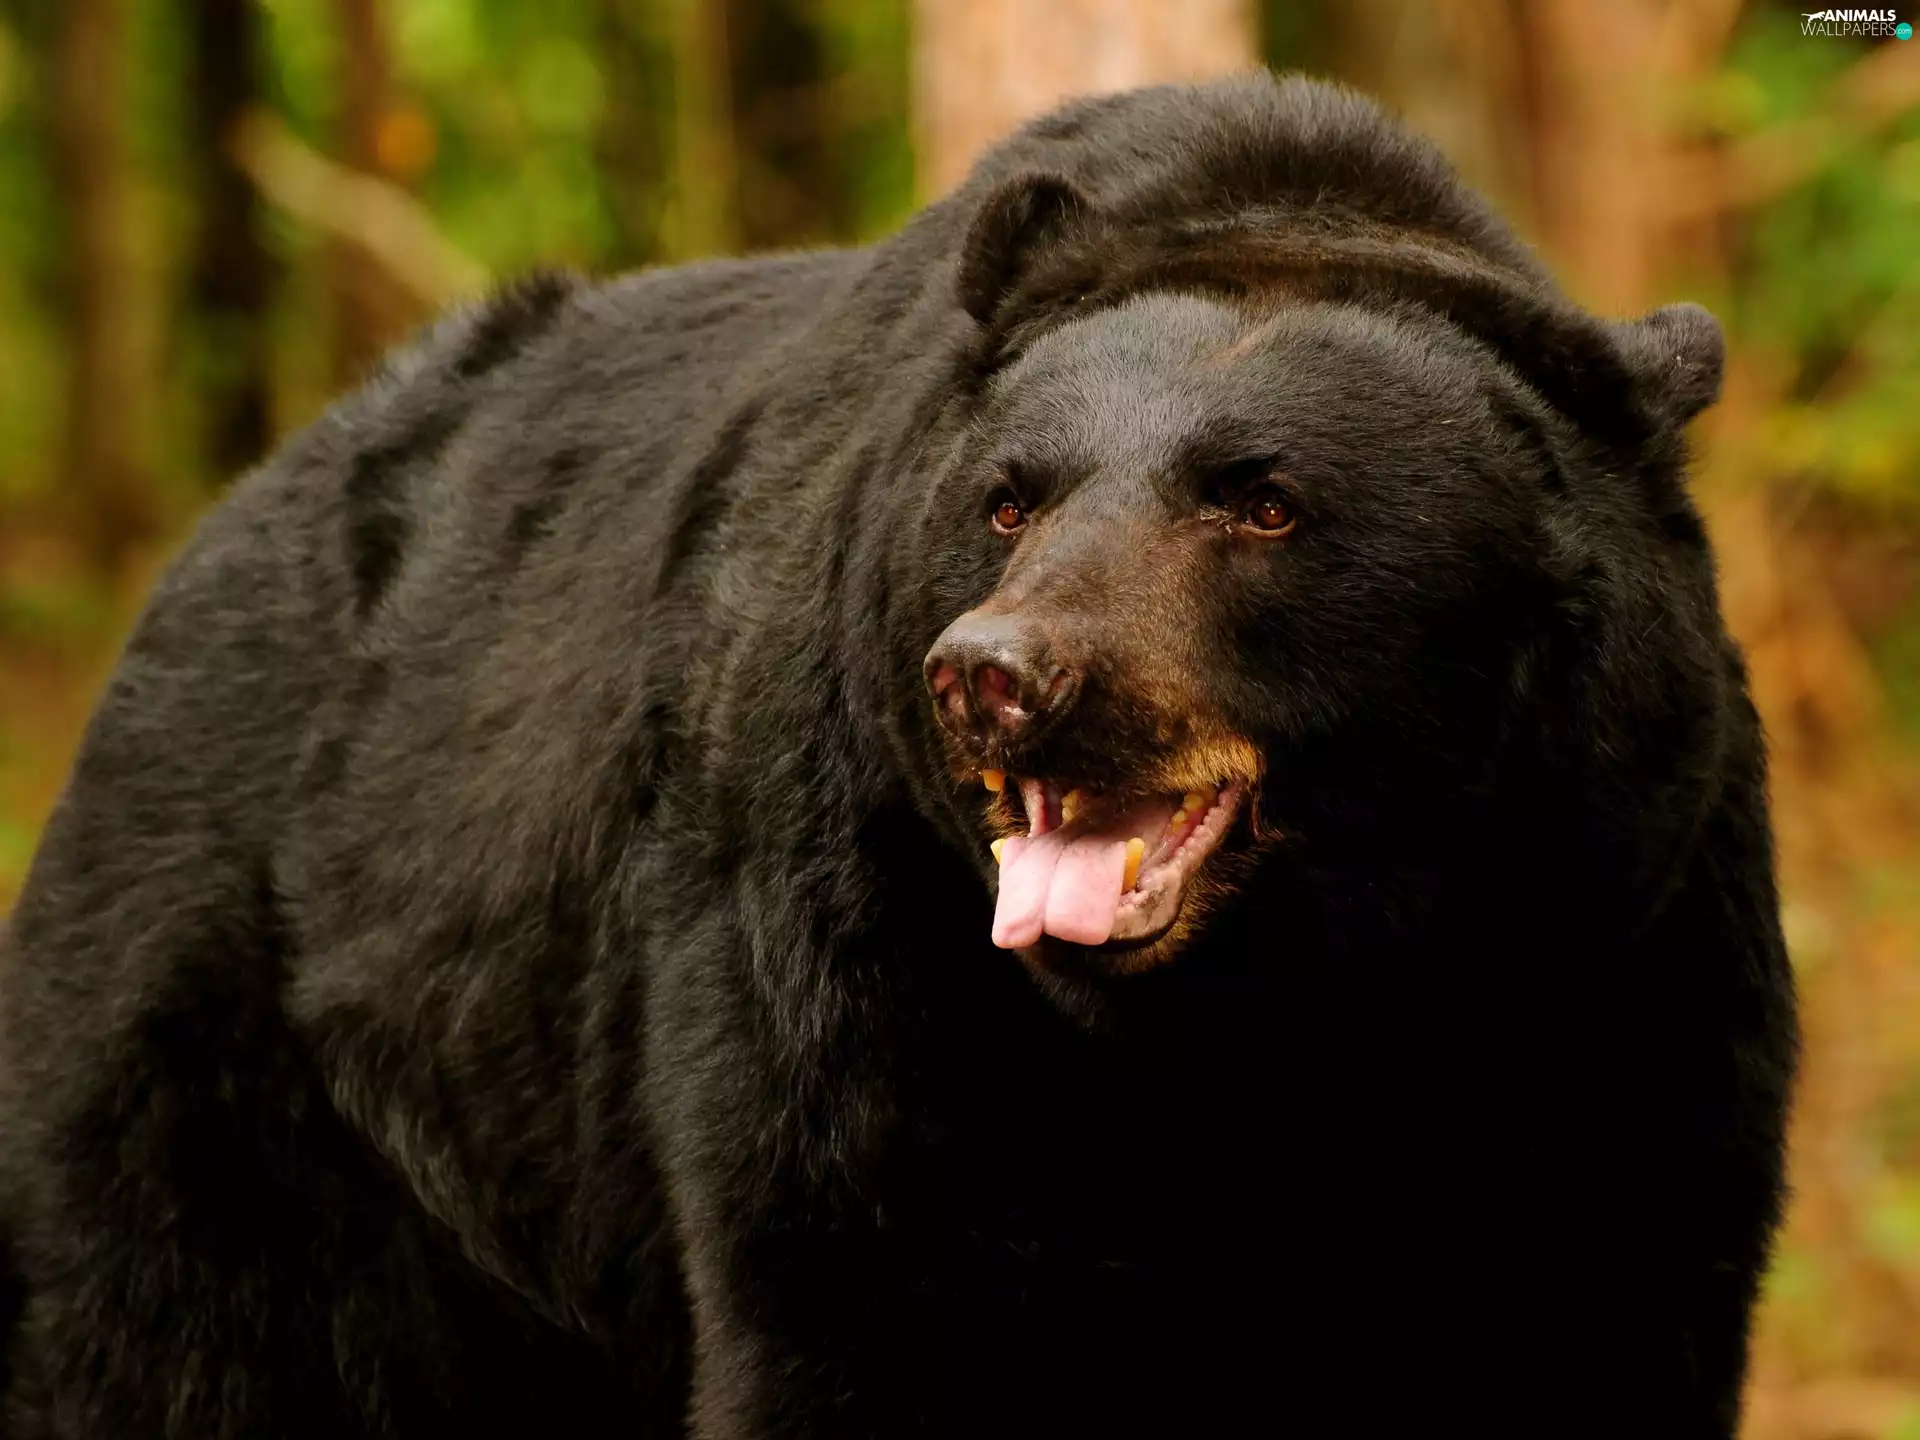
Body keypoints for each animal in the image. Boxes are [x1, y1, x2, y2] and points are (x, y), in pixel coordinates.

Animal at [0, 72, 1796, 1438]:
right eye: (1010, 496)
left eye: (1261, 498)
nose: (995, 677)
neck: (1273, 1019)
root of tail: (226, 519)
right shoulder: (871, 965)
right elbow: (881, 1303)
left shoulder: (1612, 950)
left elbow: (1601, 1307)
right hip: (240, 1047)